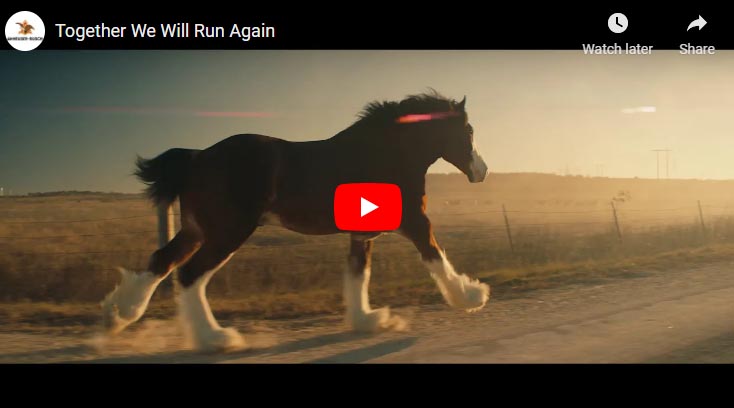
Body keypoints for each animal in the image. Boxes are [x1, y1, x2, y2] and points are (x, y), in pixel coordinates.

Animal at [102, 91, 488, 350]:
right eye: (468, 131)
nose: (481, 171)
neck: (382, 152)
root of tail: (197, 157)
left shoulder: (361, 233)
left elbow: (358, 274)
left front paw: (368, 319)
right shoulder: (415, 221)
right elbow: (435, 258)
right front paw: (472, 296)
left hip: (196, 230)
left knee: (162, 261)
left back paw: (119, 314)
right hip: (227, 232)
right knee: (189, 274)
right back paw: (215, 338)